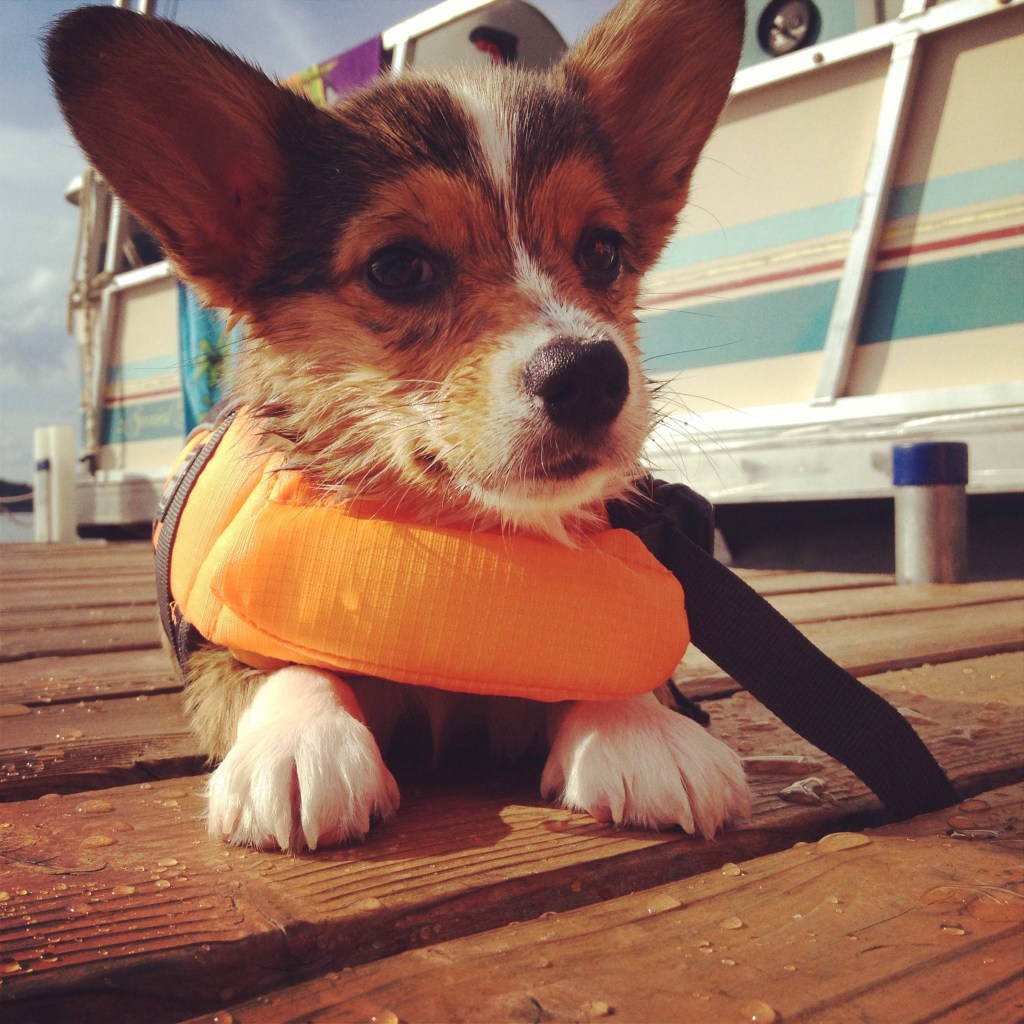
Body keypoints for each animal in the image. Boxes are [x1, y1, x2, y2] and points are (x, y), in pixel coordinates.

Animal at [48, 0, 749, 847]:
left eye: (604, 250)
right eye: (399, 267)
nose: (591, 375)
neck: (467, 541)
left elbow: (619, 660)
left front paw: (639, 728)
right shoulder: (219, 652)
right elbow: (282, 663)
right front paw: (299, 743)